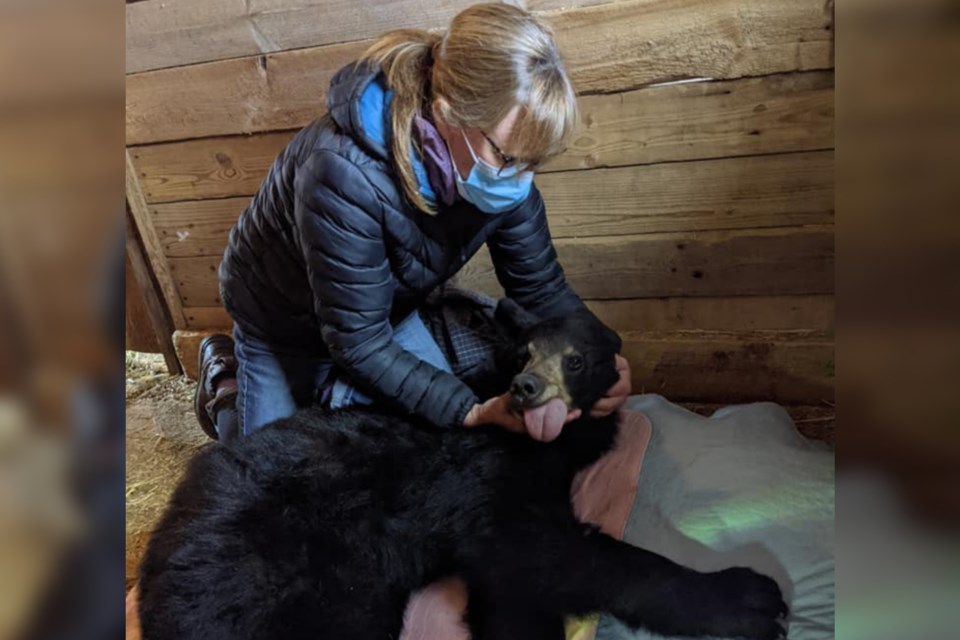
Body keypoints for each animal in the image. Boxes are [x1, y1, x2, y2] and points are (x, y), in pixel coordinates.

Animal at [137, 302, 788, 640]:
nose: (526, 388)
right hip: (287, 579)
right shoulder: (480, 478)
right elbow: (553, 551)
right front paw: (750, 597)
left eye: (575, 359)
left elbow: (508, 583)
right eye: (524, 353)